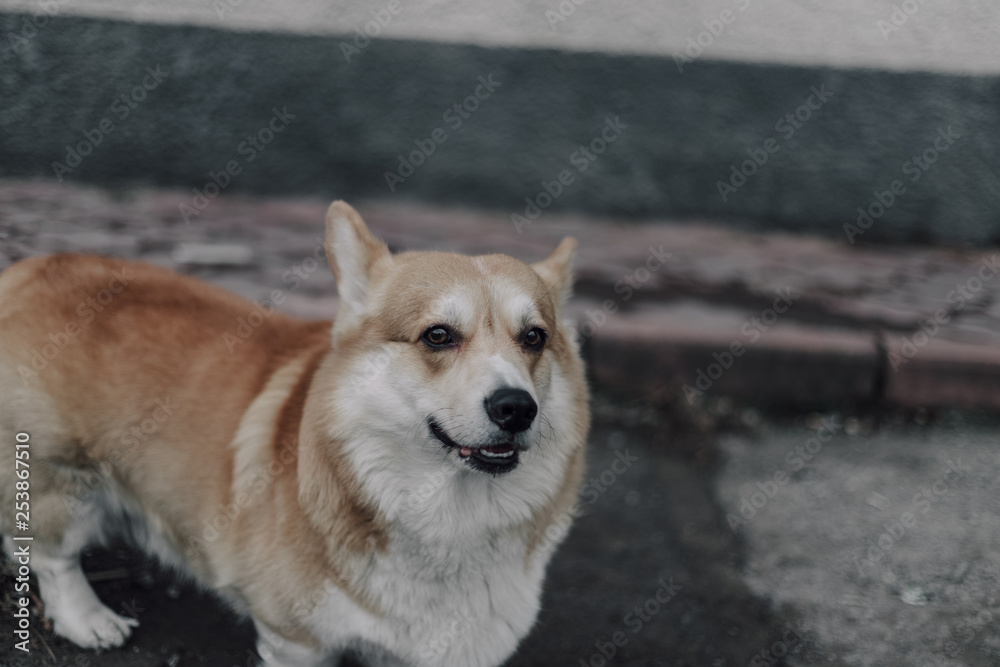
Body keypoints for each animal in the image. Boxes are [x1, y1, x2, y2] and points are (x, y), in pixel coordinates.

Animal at [0, 204, 588, 667]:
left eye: (534, 338)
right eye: (438, 336)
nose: (516, 408)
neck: (449, 516)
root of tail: (27, 269)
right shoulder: (294, 640)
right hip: (59, 476)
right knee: (52, 556)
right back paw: (89, 620)